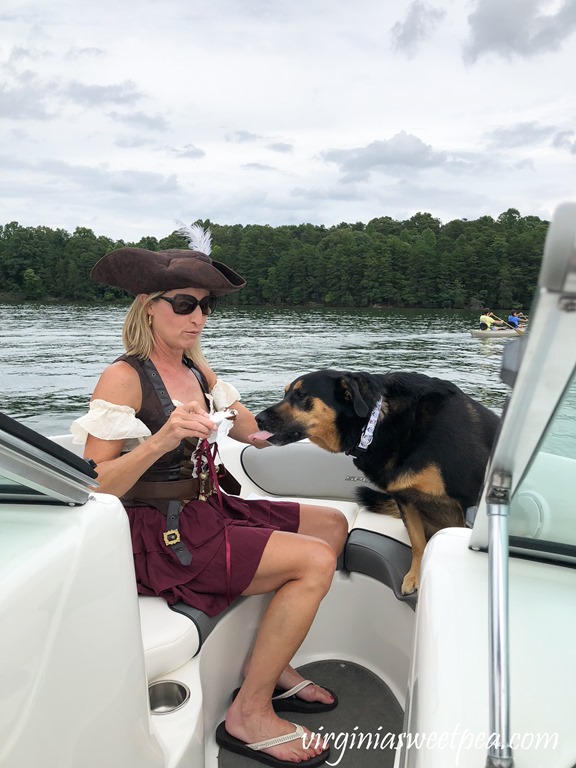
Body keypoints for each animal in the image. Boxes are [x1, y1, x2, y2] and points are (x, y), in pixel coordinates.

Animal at [255, 370, 500, 592]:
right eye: (285, 393)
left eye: (301, 395)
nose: (258, 419)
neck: (372, 426)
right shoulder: (405, 499)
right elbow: (418, 543)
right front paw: (415, 576)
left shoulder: (469, 499)